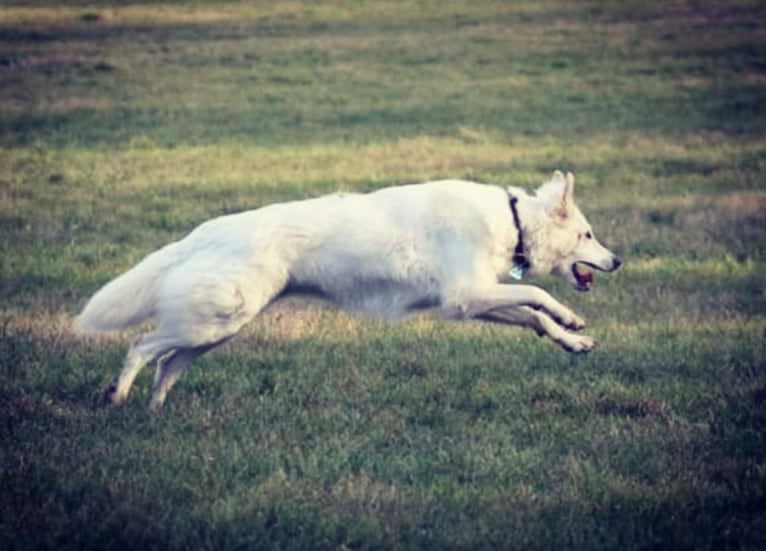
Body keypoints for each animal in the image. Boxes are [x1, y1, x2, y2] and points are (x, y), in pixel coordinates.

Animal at [75, 171, 620, 410]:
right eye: (589, 235)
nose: (618, 261)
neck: (512, 221)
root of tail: (205, 231)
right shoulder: (468, 295)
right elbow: (541, 299)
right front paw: (571, 320)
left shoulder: (472, 300)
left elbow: (534, 316)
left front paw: (573, 339)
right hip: (212, 321)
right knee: (141, 345)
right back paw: (118, 397)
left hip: (213, 329)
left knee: (167, 364)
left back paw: (155, 409)